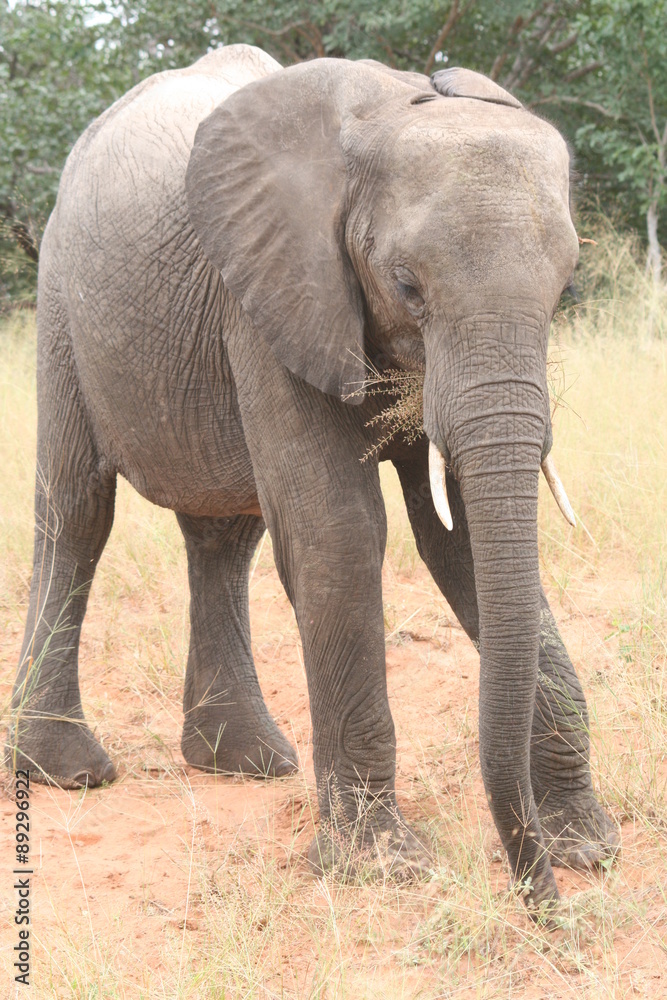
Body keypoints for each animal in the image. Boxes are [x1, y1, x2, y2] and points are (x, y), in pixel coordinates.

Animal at [8, 42, 619, 913]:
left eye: (565, 284)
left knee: (224, 536)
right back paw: (66, 772)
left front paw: (588, 845)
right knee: (77, 513)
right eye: (406, 283)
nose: (539, 896)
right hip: (63, 300)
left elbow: (464, 540)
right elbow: (339, 531)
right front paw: (380, 869)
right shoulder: (271, 287)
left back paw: (247, 764)